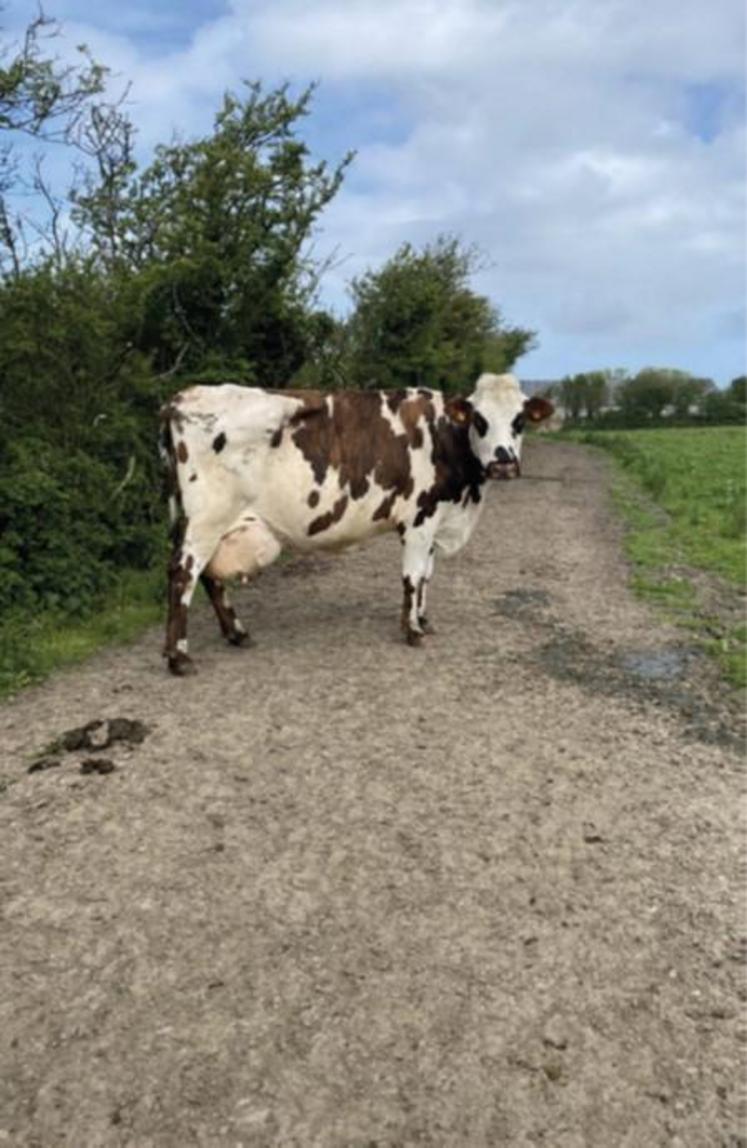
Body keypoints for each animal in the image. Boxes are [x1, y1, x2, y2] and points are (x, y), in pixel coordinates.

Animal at [159, 374, 555, 670]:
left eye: (519, 421)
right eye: (480, 419)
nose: (504, 463)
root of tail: (182, 397)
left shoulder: (435, 519)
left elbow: (427, 575)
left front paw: (423, 619)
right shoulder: (419, 519)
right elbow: (413, 577)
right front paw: (412, 630)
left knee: (209, 577)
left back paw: (236, 634)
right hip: (207, 519)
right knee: (184, 573)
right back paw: (179, 657)